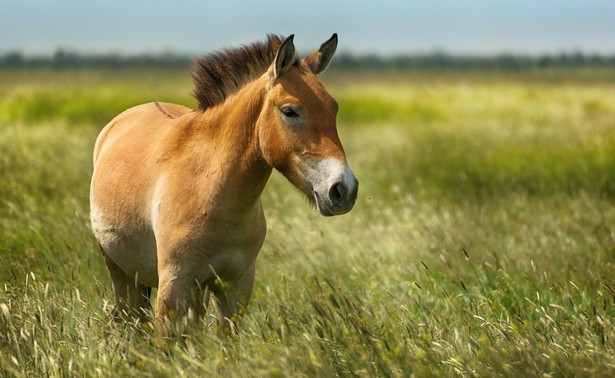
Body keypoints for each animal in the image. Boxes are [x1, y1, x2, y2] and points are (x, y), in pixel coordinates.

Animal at [89, 34, 358, 332]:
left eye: (333, 108)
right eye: (290, 111)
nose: (344, 189)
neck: (210, 190)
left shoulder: (235, 289)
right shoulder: (172, 290)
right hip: (121, 274)